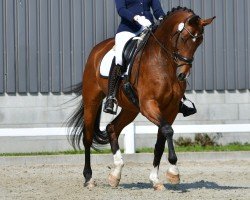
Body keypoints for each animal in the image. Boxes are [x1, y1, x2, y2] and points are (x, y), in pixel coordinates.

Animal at [68, 7, 215, 190]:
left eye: (199, 41)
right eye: (183, 38)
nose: (182, 74)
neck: (163, 61)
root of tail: (97, 50)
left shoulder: (171, 108)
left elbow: (160, 141)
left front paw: (156, 179)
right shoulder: (148, 104)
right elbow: (168, 130)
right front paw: (173, 171)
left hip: (130, 108)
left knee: (112, 128)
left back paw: (115, 174)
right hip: (92, 100)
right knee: (87, 137)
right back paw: (89, 178)